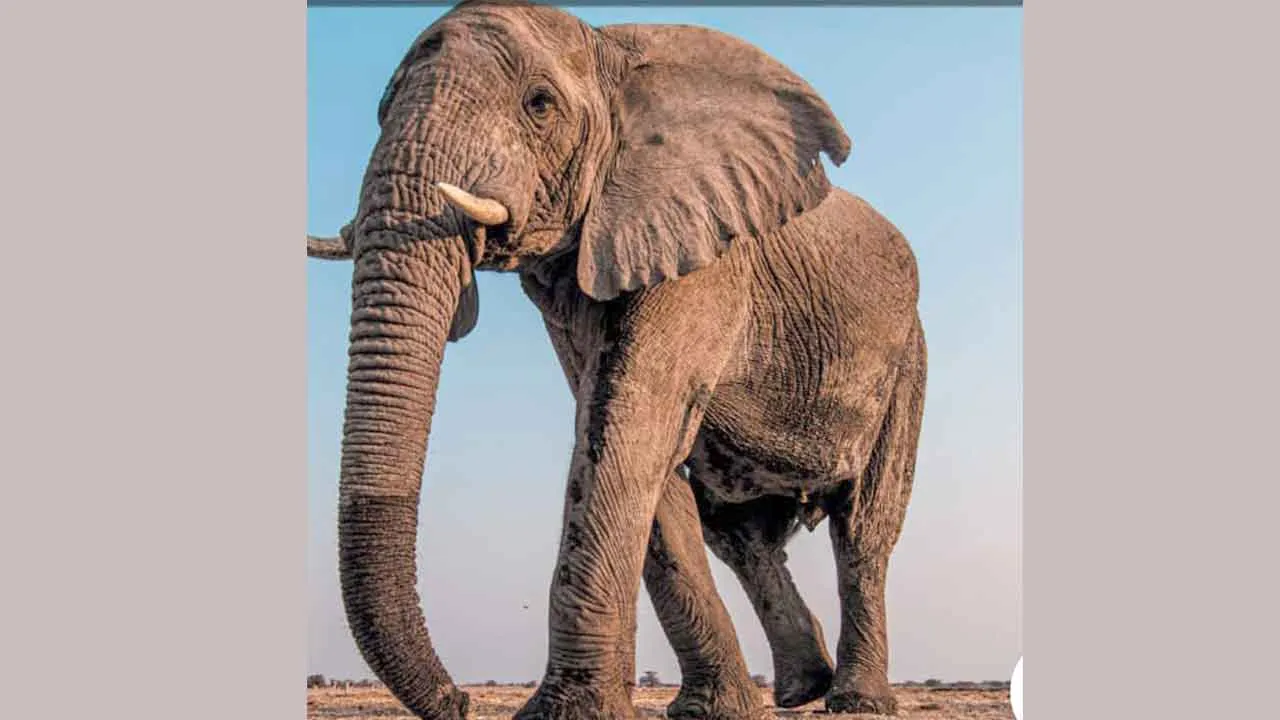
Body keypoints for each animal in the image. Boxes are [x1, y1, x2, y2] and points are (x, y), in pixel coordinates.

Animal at [307, 2, 926, 719]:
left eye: (539, 104)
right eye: (381, 110)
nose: (458, 700)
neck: (608, 53)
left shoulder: (706, 257)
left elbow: (628, 425)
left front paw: (565, 713)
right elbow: (624, 435)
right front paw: (711, 711)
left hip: (907, 363)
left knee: (862, 532)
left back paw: (855, 700)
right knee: (739, 536)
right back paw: (802, 690)